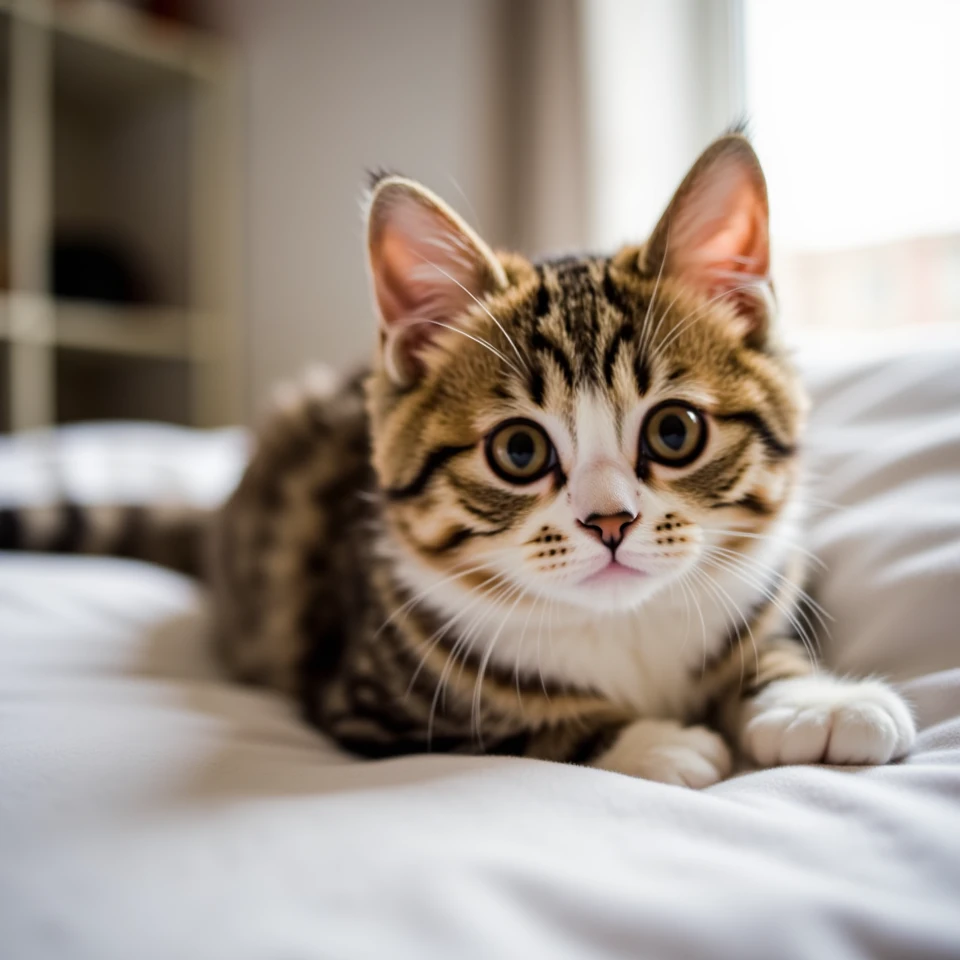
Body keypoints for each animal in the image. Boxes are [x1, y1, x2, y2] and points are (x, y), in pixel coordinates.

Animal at [0, 135, 916, 784]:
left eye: (674, 433)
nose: (610, 520)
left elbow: (764, 644)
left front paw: (813, 699)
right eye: (519, 449)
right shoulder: (367, 700)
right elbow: (509, 726)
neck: (620, 632)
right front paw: (655, 743)